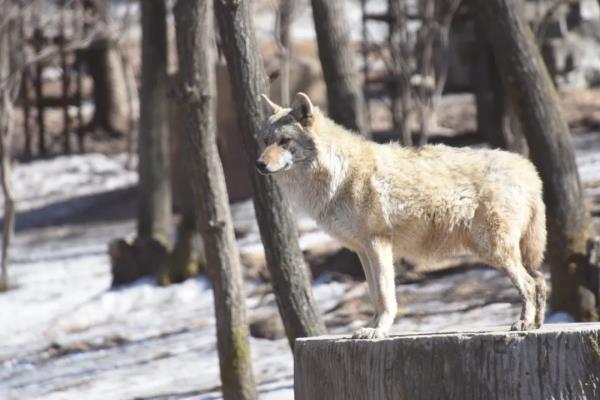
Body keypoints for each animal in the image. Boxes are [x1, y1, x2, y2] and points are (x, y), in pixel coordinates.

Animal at [255, 92, 548, 340]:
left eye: (284, 141)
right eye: (266, 141)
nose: (259, 164)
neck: (339, 174)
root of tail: (528, 168)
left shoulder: (378, 244)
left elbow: (385, 296)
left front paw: (378, 331)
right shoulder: (363, 251)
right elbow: (375, 295)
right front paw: (371, 327)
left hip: (492, 249)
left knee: (529, 284)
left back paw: (523, 323)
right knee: (540, 280)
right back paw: (536, 325)